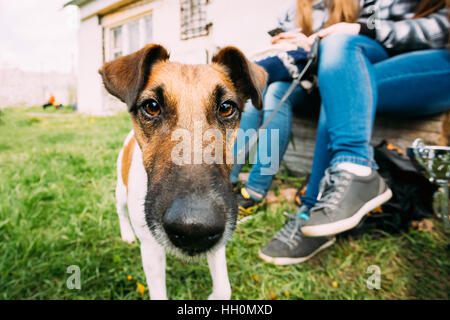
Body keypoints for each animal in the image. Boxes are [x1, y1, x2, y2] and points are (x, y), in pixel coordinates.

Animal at [98, 43, 268, 298]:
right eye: (151, 107)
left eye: (227, 108)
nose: (195, 228)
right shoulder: (151, 247)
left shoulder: (219, 238)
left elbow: (224, 288)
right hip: (121, 189)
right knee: (120, 210)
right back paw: (126, 234)